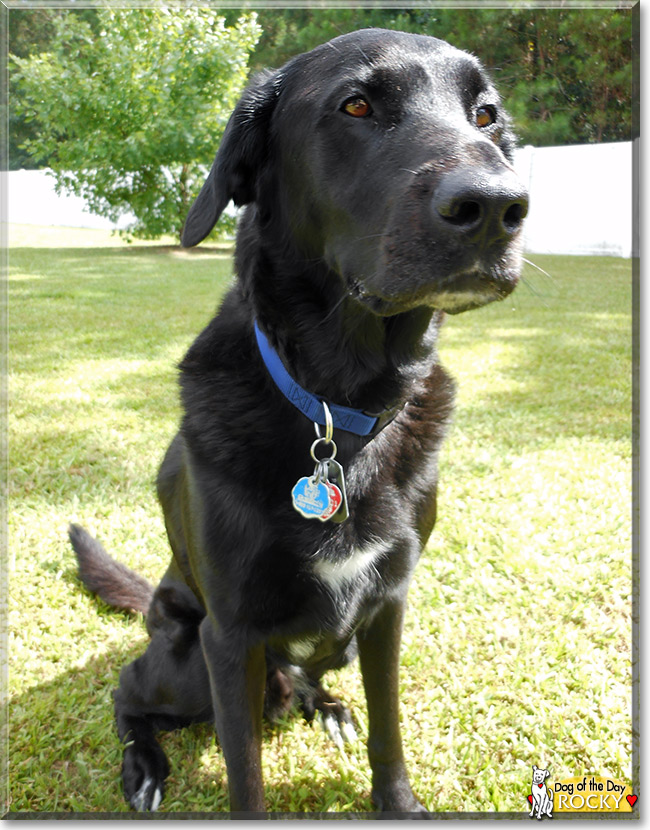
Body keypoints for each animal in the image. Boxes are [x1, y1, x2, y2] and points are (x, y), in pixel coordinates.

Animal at [69, 27, 528, 820]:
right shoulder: (231, 639)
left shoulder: (386, 604)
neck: (338, 412)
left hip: (331, 642)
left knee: (312, 679)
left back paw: (329, 706)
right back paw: (145, 766)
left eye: (485, 114)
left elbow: (389, 726)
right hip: (186, 662)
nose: (499, 205)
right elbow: (244, 774)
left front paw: (395, 801)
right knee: (129, 693)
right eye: (356, 105)